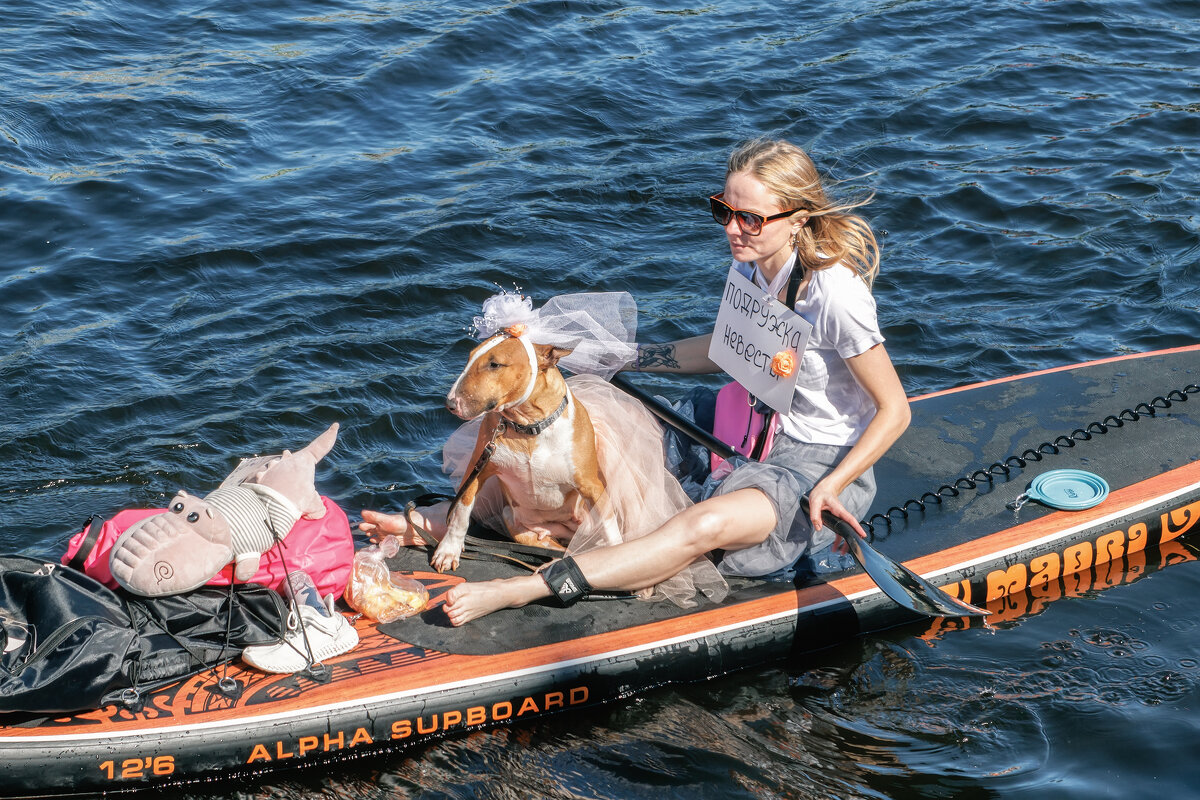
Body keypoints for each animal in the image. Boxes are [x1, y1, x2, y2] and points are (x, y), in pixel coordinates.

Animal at [432, 331, 619, 575]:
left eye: (494, 364)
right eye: (469, 357)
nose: (450, 403)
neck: (528, 426)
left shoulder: (591, 485)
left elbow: (611, 531)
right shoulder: (477, 467)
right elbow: (461, 513)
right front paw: (449, 550)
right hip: (517, 523)